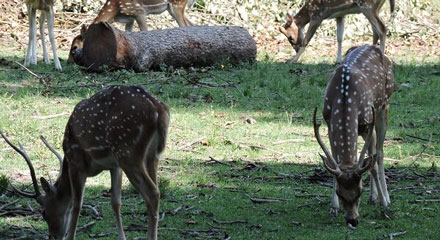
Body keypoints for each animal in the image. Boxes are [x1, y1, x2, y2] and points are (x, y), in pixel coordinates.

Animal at [0, 85, 170, 239]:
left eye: (44, 213)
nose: (53, 236)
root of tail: (159, 109)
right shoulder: (114, 166)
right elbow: (116, 202)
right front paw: (122, 237)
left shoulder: (76, 163)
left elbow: (76, 203)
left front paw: (70, 236)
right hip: (151, 156)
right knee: (156, 189)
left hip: (127, 152)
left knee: (152, 193)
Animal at [314, 45, 394, 229]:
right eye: (339, 192)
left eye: (360, 191)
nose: (352, 220)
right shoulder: (329, 123)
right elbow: (334, 161)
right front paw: (333, 208)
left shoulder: (367, 124)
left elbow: (372, 164)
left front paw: (383, 203)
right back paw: (374, 198)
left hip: (384, 105)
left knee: (379, 154)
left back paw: (385, 199)